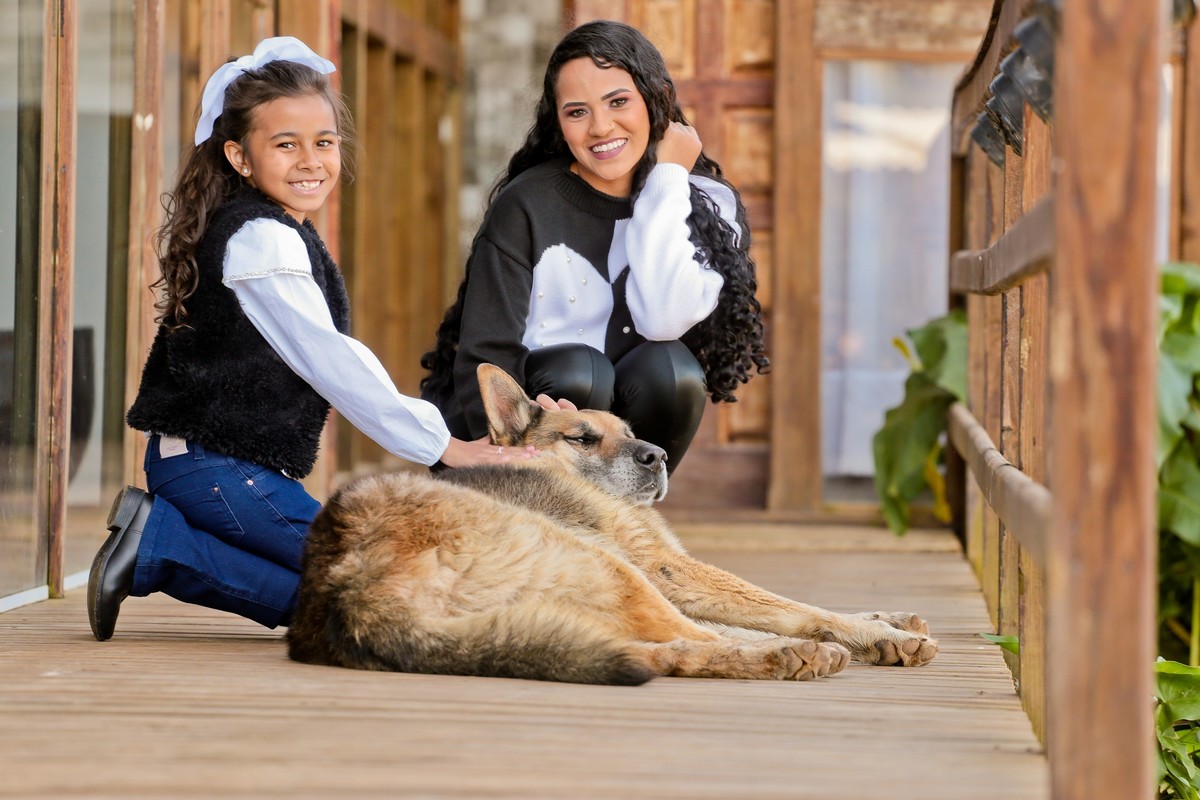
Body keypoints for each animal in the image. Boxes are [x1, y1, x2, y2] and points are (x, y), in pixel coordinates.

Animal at [287, 365, 938, 685]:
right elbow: (791, 606)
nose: (658, 456)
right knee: (698, 639)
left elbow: (786, 606)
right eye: (581, 437)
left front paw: (883, 621)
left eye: (628, 432)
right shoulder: (669, 570)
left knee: (669, 648)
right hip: (607, 567)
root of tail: (348, 595)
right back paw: (791, 655)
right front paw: (876, 633)